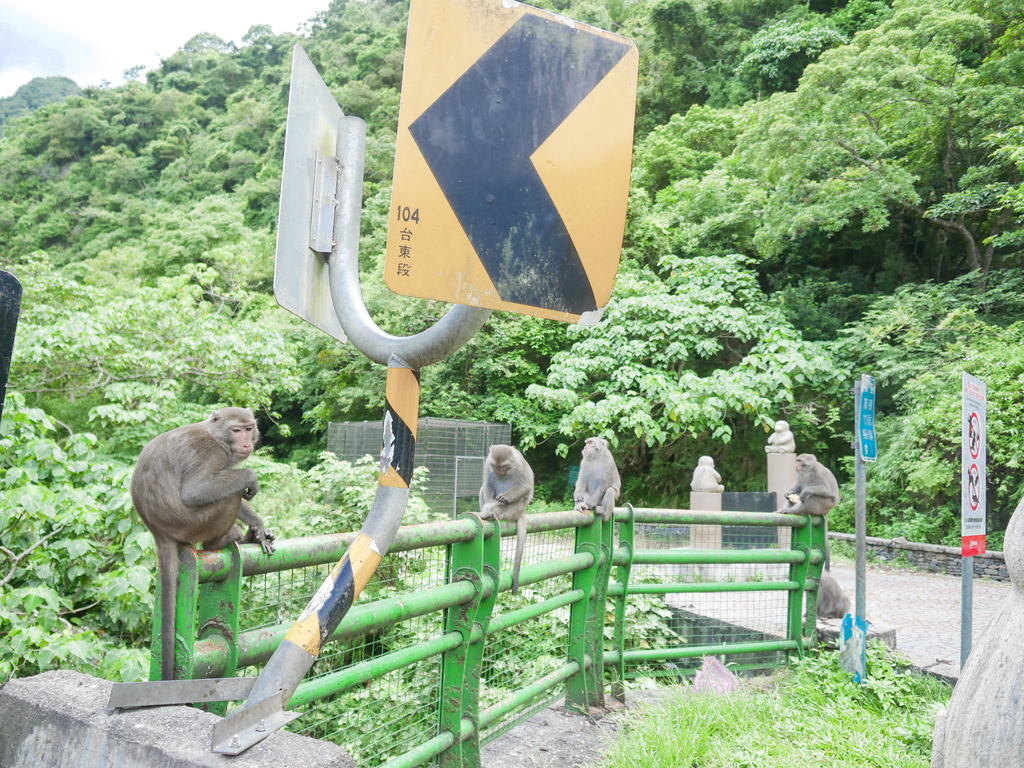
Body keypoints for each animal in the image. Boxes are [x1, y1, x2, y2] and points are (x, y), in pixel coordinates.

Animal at [132, 409, 276, 679]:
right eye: (236, 430)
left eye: (249, 428)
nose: (246, 443)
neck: (216, 437)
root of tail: (158, 530)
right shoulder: (211, 453)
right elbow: (196, 491)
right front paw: (251, 476)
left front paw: (259, 526)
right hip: (192, 523)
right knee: (229, 494)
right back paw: (219, 540)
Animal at [475, 444, 532, 593]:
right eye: (496, 466)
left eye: (503, 466)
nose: (500, 472)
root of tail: (522, 512)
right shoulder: (488, 463)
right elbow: (487, 485)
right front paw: (489, 500)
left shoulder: (518, 464)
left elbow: (526, 486)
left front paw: (505, 497)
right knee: (482, 489)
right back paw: (485, 512)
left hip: (516, 509)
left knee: (502, 506)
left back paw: (487, 513)